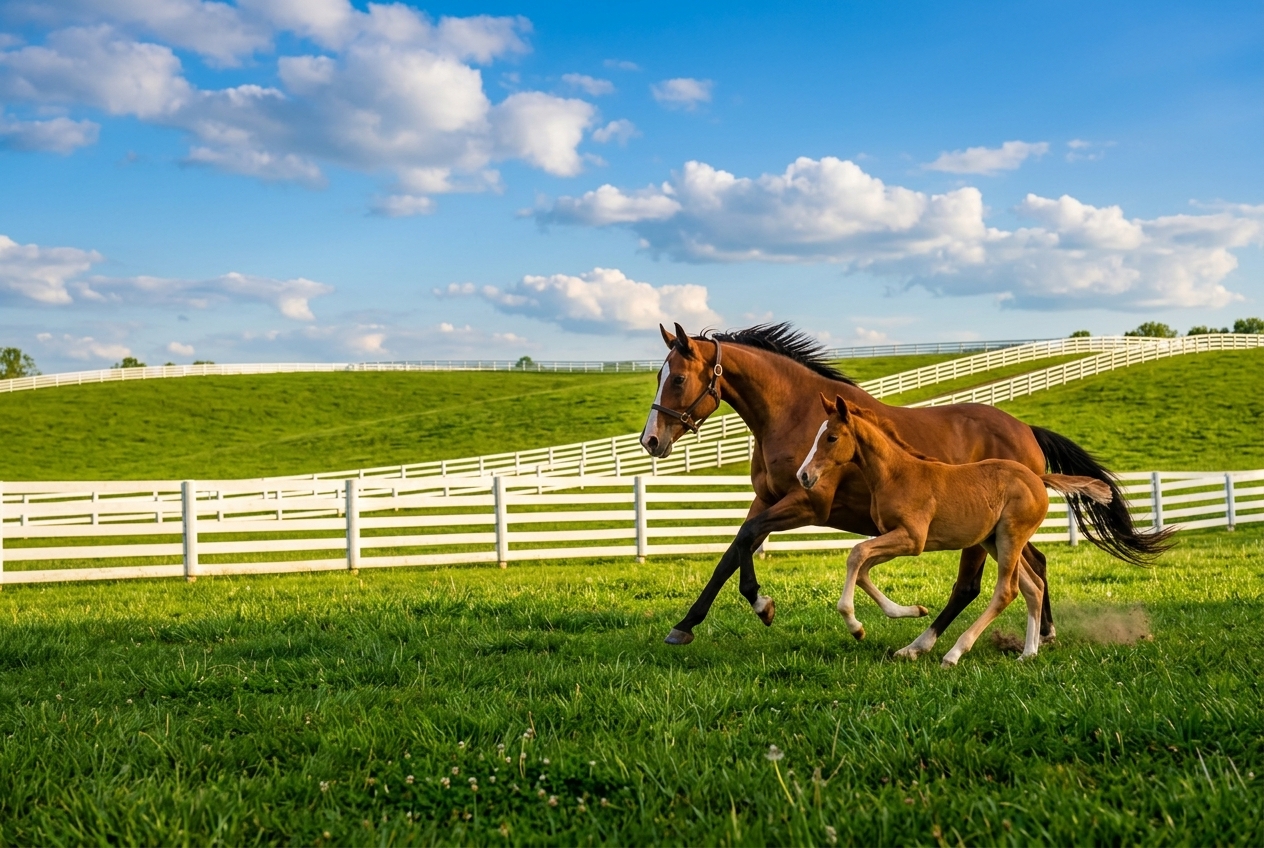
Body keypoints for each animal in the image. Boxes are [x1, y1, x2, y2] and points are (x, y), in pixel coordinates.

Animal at [798, 394, 1113, 665]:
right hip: (995, 541)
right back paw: (1027, 653)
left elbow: (856, 553)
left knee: (1007, 590)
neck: (897, 474)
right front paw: (913, 611)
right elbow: (862, 568)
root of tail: (1038, 478)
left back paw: (954, 654)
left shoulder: (912, 539)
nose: (803, 475)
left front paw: (854, 625)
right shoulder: (894, 537)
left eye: (832, 437)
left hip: (1010, 537)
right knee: (1032, 586)